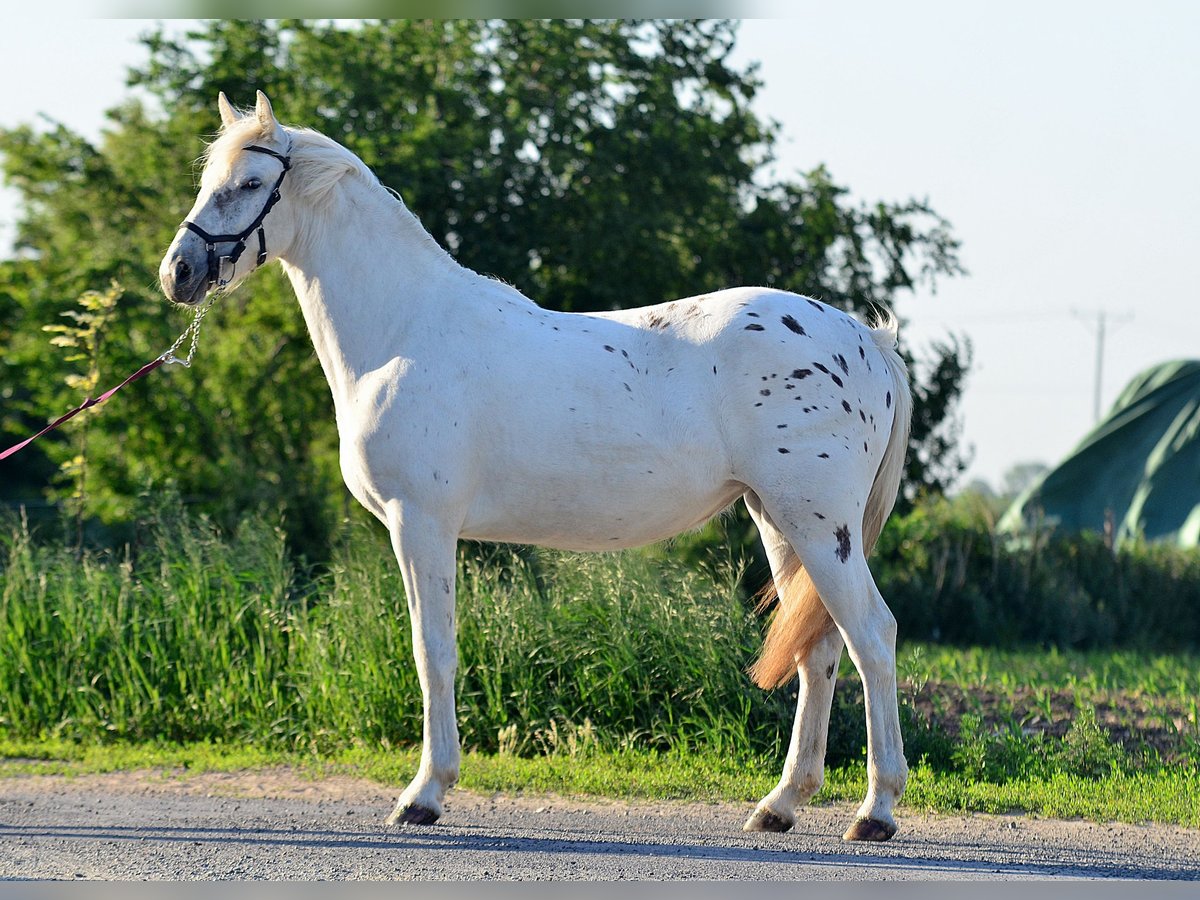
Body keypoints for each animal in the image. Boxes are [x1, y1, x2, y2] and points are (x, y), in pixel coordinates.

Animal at [157, 88, 907, 844]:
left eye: (250, 183)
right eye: (207, 179)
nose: (177, 273)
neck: (406, 330)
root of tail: (864, 341)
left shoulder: (420, 522)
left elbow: (433, 651)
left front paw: (424, 794)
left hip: (819, 527)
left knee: (872, 637)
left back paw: (875, 811)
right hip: (778, 521)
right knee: (819, 653)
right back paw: (779, 805)